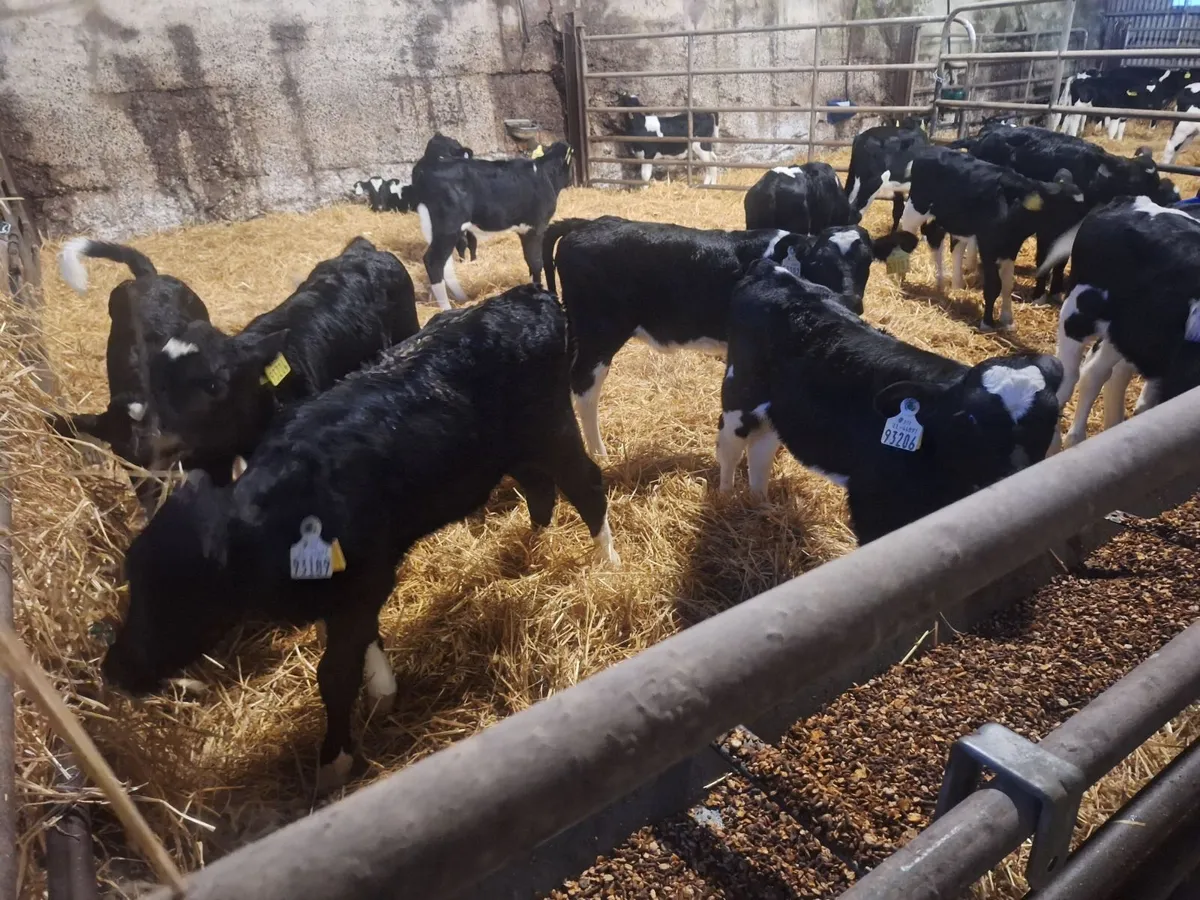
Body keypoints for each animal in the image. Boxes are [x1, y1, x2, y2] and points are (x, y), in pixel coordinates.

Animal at [100, 285, 618, 792]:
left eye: (186, 590)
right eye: (134, 581)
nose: (116, 669)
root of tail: (529, 296)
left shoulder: (367, 579)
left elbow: (334, 673)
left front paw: (337, 756)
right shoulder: (347, 587)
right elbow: (362, 641)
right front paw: (381, 686)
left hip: (551, 428)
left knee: (586, 485)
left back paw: (606, 565)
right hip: (512, 451)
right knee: (539, 488)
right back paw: (530, 550)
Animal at [413, 142, 573, 310]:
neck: (546, 174)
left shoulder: (524, 230)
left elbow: (529, 262)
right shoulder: (536, 227)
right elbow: (536, 263)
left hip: (434, 228)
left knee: (445, 263)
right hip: (449, 227)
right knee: (434, 261)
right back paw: (446, 307)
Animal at [542, 216, 914, 458]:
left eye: (867, 261)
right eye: (820, 260)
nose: (851, 300)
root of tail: (585, 224)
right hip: (599, 332)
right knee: (584, 389)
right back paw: (599, 453)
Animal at [717, 259, 1063, 543]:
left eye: (1051, 418)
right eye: (970, 420)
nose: (1014, 481)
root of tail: (774, 270)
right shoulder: (871, 504)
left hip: (777, 410)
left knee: (761, 450)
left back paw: (760, 504)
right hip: (739, 394)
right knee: (730, 448)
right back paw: (725, 499)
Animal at [899, 146, 1086, 331]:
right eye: (1065, 210)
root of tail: (929, 150)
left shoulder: (1011, 246)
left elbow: (1007, 284)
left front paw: (1007, 320)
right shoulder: (988, 245)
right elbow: (994, 285)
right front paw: (987, 322)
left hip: (948, 219)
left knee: (937, 239)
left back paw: (943, 284)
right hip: (915, 209)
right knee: (908, 237)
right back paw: (901, 276)